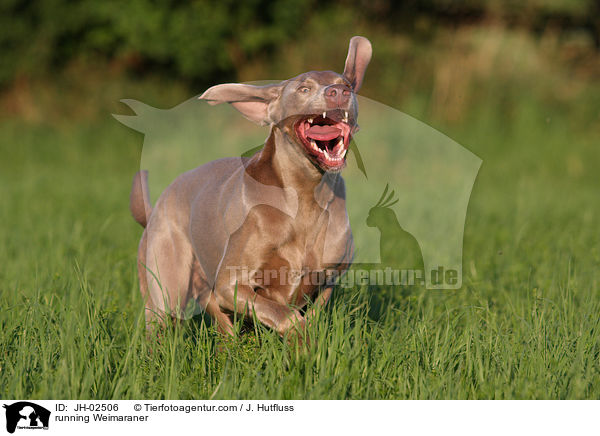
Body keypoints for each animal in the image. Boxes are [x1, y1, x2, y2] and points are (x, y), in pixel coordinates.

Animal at [132, 35, 370, 340]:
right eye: (304, 88)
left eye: (347, 84)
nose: (339, 91)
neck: (305, 196)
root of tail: (155, 209)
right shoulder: (229, 284)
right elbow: (285, 315)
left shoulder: (329, 280)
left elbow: (311, 313)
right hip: (166, 285)